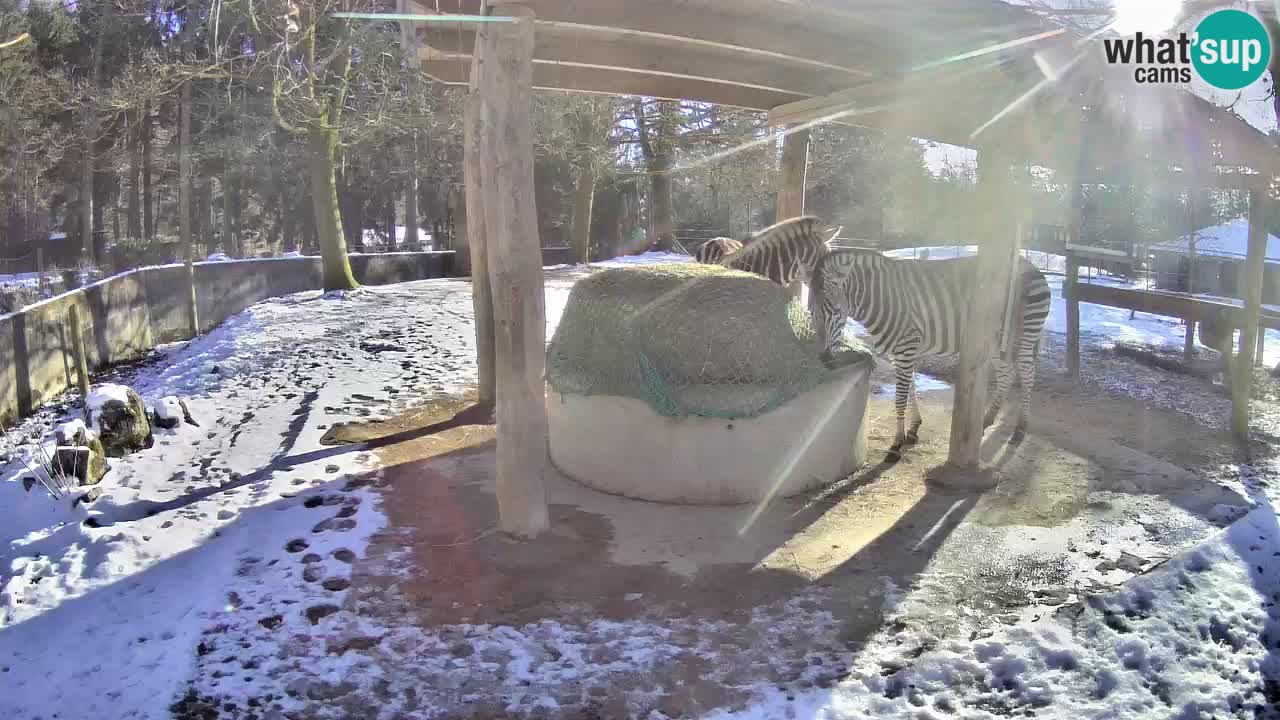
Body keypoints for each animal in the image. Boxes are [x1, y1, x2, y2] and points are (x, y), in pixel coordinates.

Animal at [808, 245, 1049, 453]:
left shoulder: (906, 347)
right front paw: (913, 428)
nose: (824, 358)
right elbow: (911, 387)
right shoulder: (900, 351)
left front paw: (897, 442)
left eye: (836, 311)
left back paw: (1020, 429)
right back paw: (987, 419)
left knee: (1027, 374)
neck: (881, 299)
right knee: (1007, 374)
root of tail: (1029, 263)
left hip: (1026, 333)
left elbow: (900, 396)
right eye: (810, 311)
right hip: (995, 340)